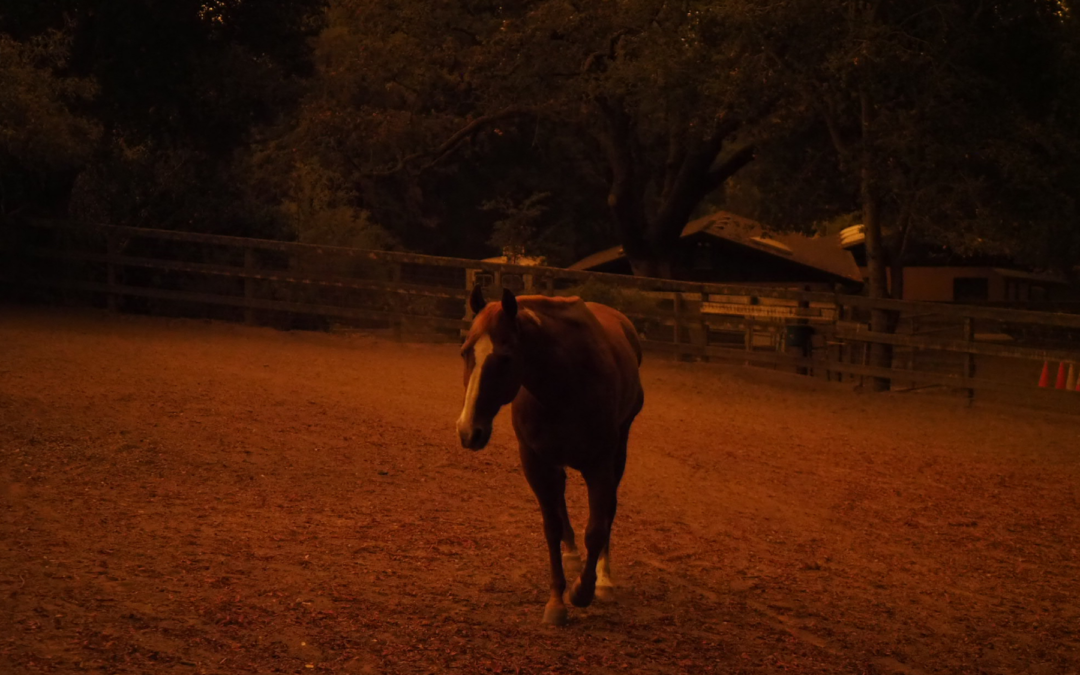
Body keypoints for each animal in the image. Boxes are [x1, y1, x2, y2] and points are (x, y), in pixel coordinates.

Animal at [455, 285, 644, 625]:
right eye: (465, 351)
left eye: (505, 359)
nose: (467, 431)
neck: (564, 385)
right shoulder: (535, 461)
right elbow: (552, 526)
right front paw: (557, 600)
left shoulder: (600, 465)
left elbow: (597, 526)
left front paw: (584, 590)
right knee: (560, 505)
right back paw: (571, 554)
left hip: (618, 453)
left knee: (608, 510)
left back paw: (604, 577)